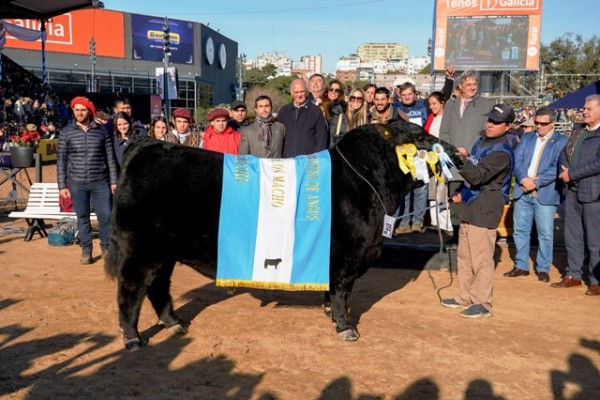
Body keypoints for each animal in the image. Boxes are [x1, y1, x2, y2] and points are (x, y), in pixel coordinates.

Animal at [104, 117, 460, 348]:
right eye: (420, 137)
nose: (455, 151)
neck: (365, 181)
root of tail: (150, 144)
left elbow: (333, 293)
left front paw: (331, 314)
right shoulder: (348, 257)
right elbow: (342, 293)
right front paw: (345, 327)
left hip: (165, 252)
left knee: (158, 288)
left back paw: (174, 324)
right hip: (141, 250)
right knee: (131, 289)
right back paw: (132, 337)